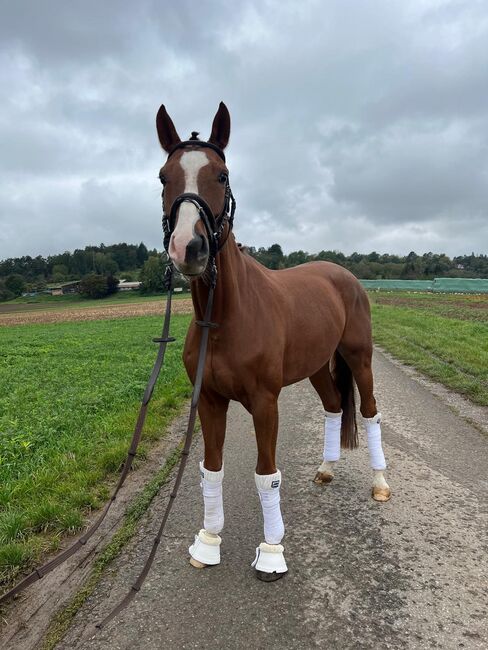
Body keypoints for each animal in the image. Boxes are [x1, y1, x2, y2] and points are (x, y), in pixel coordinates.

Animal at [156, 102, 392, 584]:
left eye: (222, 175)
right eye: (163, 176)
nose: (188, 248)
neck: (225, 318)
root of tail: (343, 274)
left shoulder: (265, 403)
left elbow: (266, 474)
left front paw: (271, 552)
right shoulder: (210, 400)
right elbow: (211, 470)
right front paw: (208, 543)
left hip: (359, 360)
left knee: (371, 412)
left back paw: (380, 484)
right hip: (318, 366)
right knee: (334, 407)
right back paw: (325, 470)